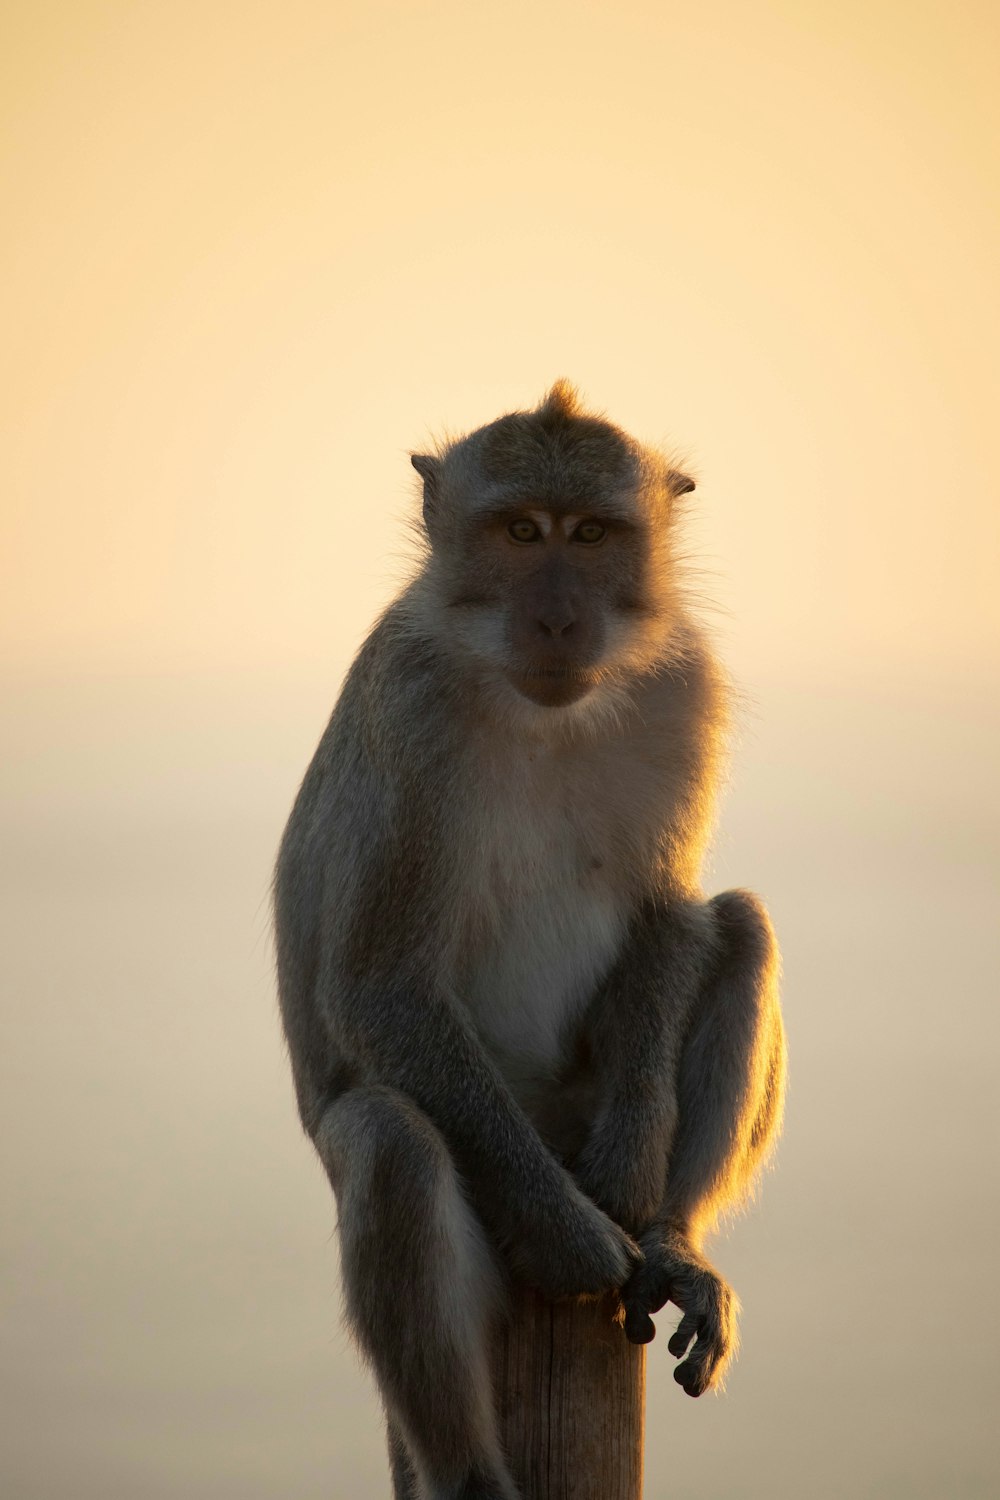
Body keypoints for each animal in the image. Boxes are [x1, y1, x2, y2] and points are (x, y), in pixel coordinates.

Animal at [275, 384, 791, 1500]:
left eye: (590, 534)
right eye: (519, 532)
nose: (557, 616)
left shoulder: (685, 683)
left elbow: (668, 911)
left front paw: (637, 1185)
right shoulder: (412, 708)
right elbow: (380, 984)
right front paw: (569, 1240)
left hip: (581, 1110)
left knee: (740, 928)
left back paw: (673, 1241)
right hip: (490, 1164)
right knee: (388, 1142)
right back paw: (471, 1470)